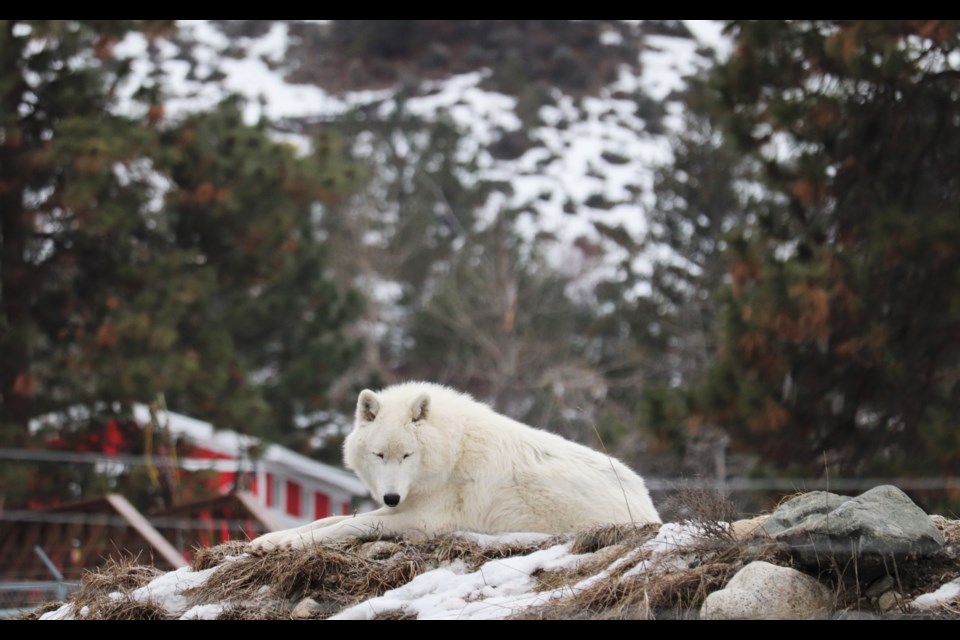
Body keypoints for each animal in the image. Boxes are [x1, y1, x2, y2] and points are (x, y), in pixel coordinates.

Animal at [251, 382, 664, 552]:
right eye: (380, 455)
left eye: (407, 455)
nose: (391, 496)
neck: (451, 450)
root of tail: (650, 505)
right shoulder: (401, 506)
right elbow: (329, 519)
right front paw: (271, 539)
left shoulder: (423, 518)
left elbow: (347, 525)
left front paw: (290, 542)